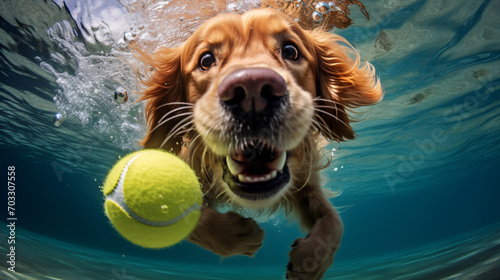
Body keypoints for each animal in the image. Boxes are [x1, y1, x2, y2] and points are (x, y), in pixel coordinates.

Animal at [137, 7, 382, 278]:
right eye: (206, 60)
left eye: (290, 51)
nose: (252, 89)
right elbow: (184, 216)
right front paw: (238, 235)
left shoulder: (306, 182)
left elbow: (334, 222)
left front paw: (311, 261)